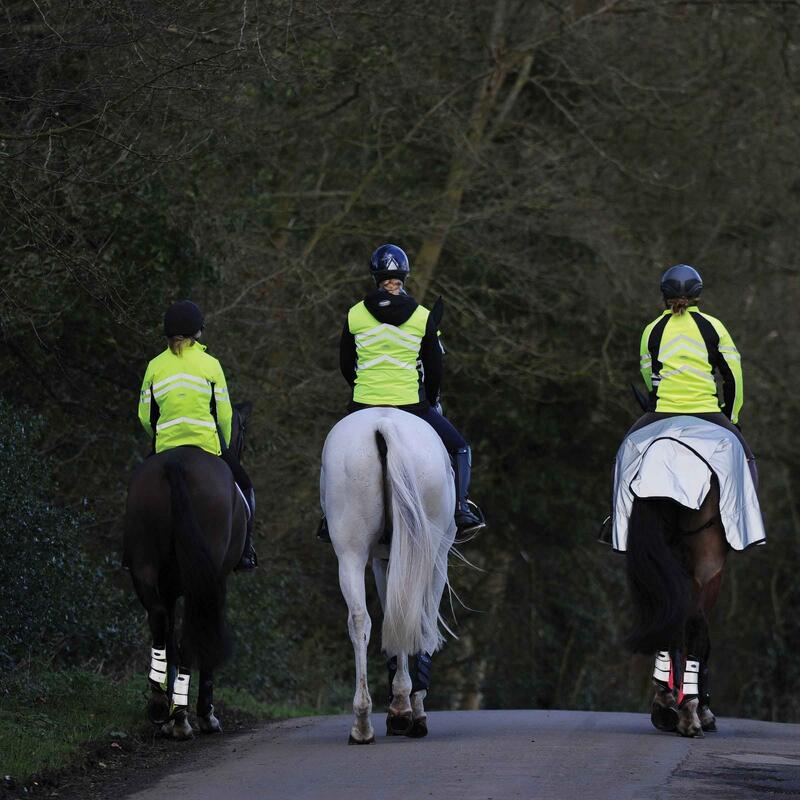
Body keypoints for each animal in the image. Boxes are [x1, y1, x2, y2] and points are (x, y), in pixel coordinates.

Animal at [122, 404, 250, 740]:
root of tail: (175, 465)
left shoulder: (168, 588)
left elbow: (167, 636)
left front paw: (169, 713)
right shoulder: (218, 581)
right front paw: (204, 715)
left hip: (144, 564)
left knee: (159, 620)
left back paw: (161, 706)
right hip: (204, 579)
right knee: (191, 635)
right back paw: (184, 719)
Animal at [318, 410, 456, 748]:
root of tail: (383, 425)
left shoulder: (383, 559)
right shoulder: (432, 557)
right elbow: (418, 623)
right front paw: (408, 709)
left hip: (350, 551)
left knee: (360, 620)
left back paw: (362, 723)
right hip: (432, 548)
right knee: (414, 617)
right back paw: (402, 712)